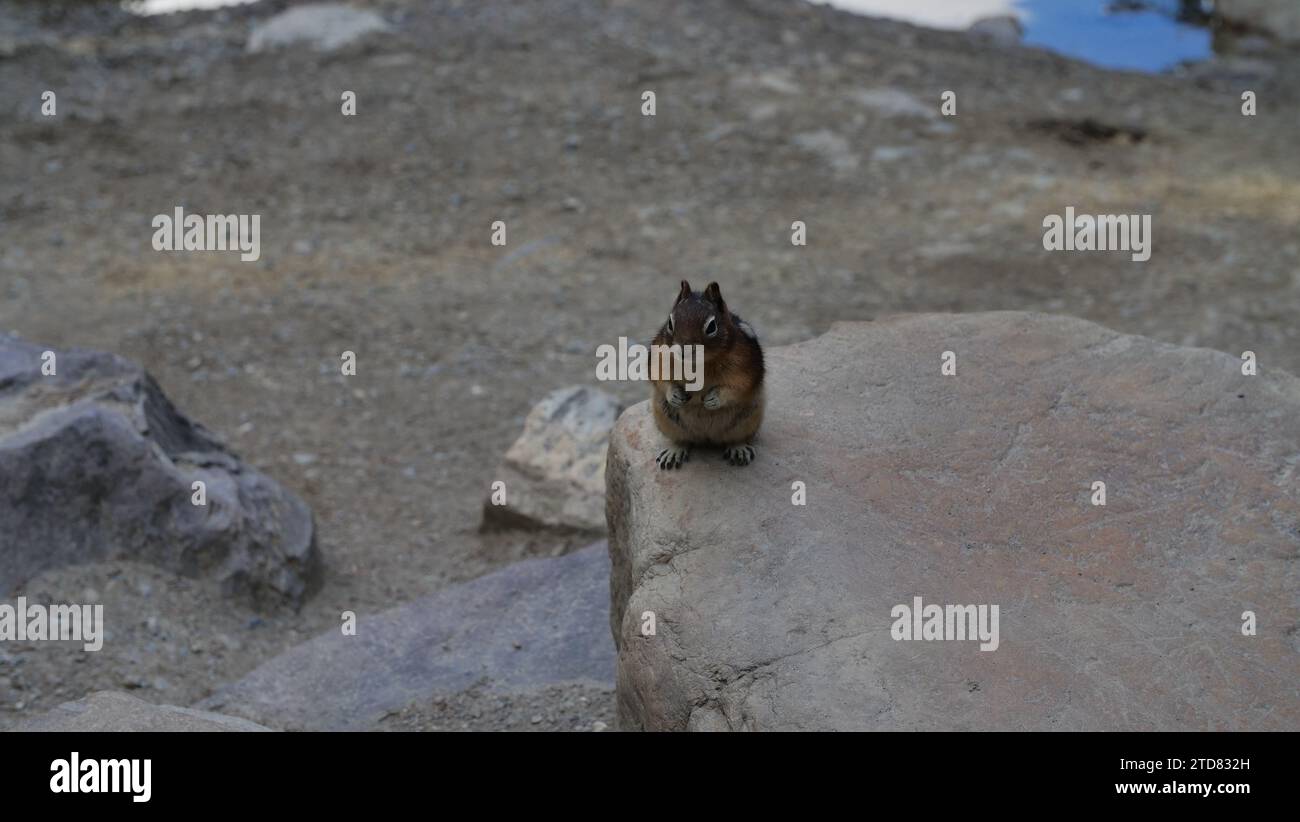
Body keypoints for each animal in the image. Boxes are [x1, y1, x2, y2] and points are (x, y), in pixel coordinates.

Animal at [650, 280, 765, 469]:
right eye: (670, 323)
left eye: (711, 327)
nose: (683, 350)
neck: (697, 364)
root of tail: (707, 438)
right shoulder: (659, 355)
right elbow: (660, 378)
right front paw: (673, 394)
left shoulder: (746, 368)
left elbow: (738, 387)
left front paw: (714, 399)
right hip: (667, 420)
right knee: (682, 440)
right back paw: (674, 451)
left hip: (748, 420)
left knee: (736, 438)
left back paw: (739, 448)